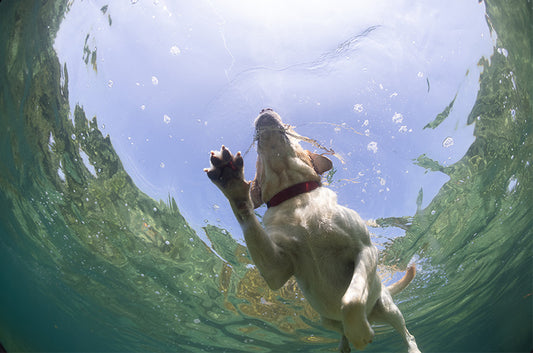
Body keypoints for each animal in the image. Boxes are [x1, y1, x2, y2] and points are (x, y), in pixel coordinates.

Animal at [206, 108, 418, 350]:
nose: (264, 109)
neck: (297, 199)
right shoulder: (276, 270)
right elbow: (245, 213)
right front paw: (231, 182)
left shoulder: (365, 250)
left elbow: (352, 299)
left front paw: (360, 332)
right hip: (326, 321)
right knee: (341, 330)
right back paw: (344, 345)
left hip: (388, 308)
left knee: (406, 333)